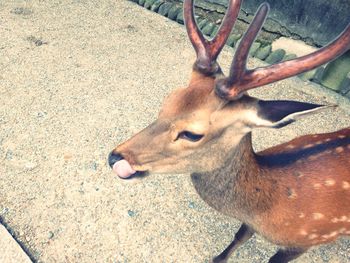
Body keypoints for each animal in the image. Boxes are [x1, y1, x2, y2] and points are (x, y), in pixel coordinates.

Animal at [108, 1, 348, 262]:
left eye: (192, 134)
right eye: (167, 101)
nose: (115, 158)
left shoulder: (307, 238)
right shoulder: (251, 224)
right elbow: (240, 236)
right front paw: (218, 258)